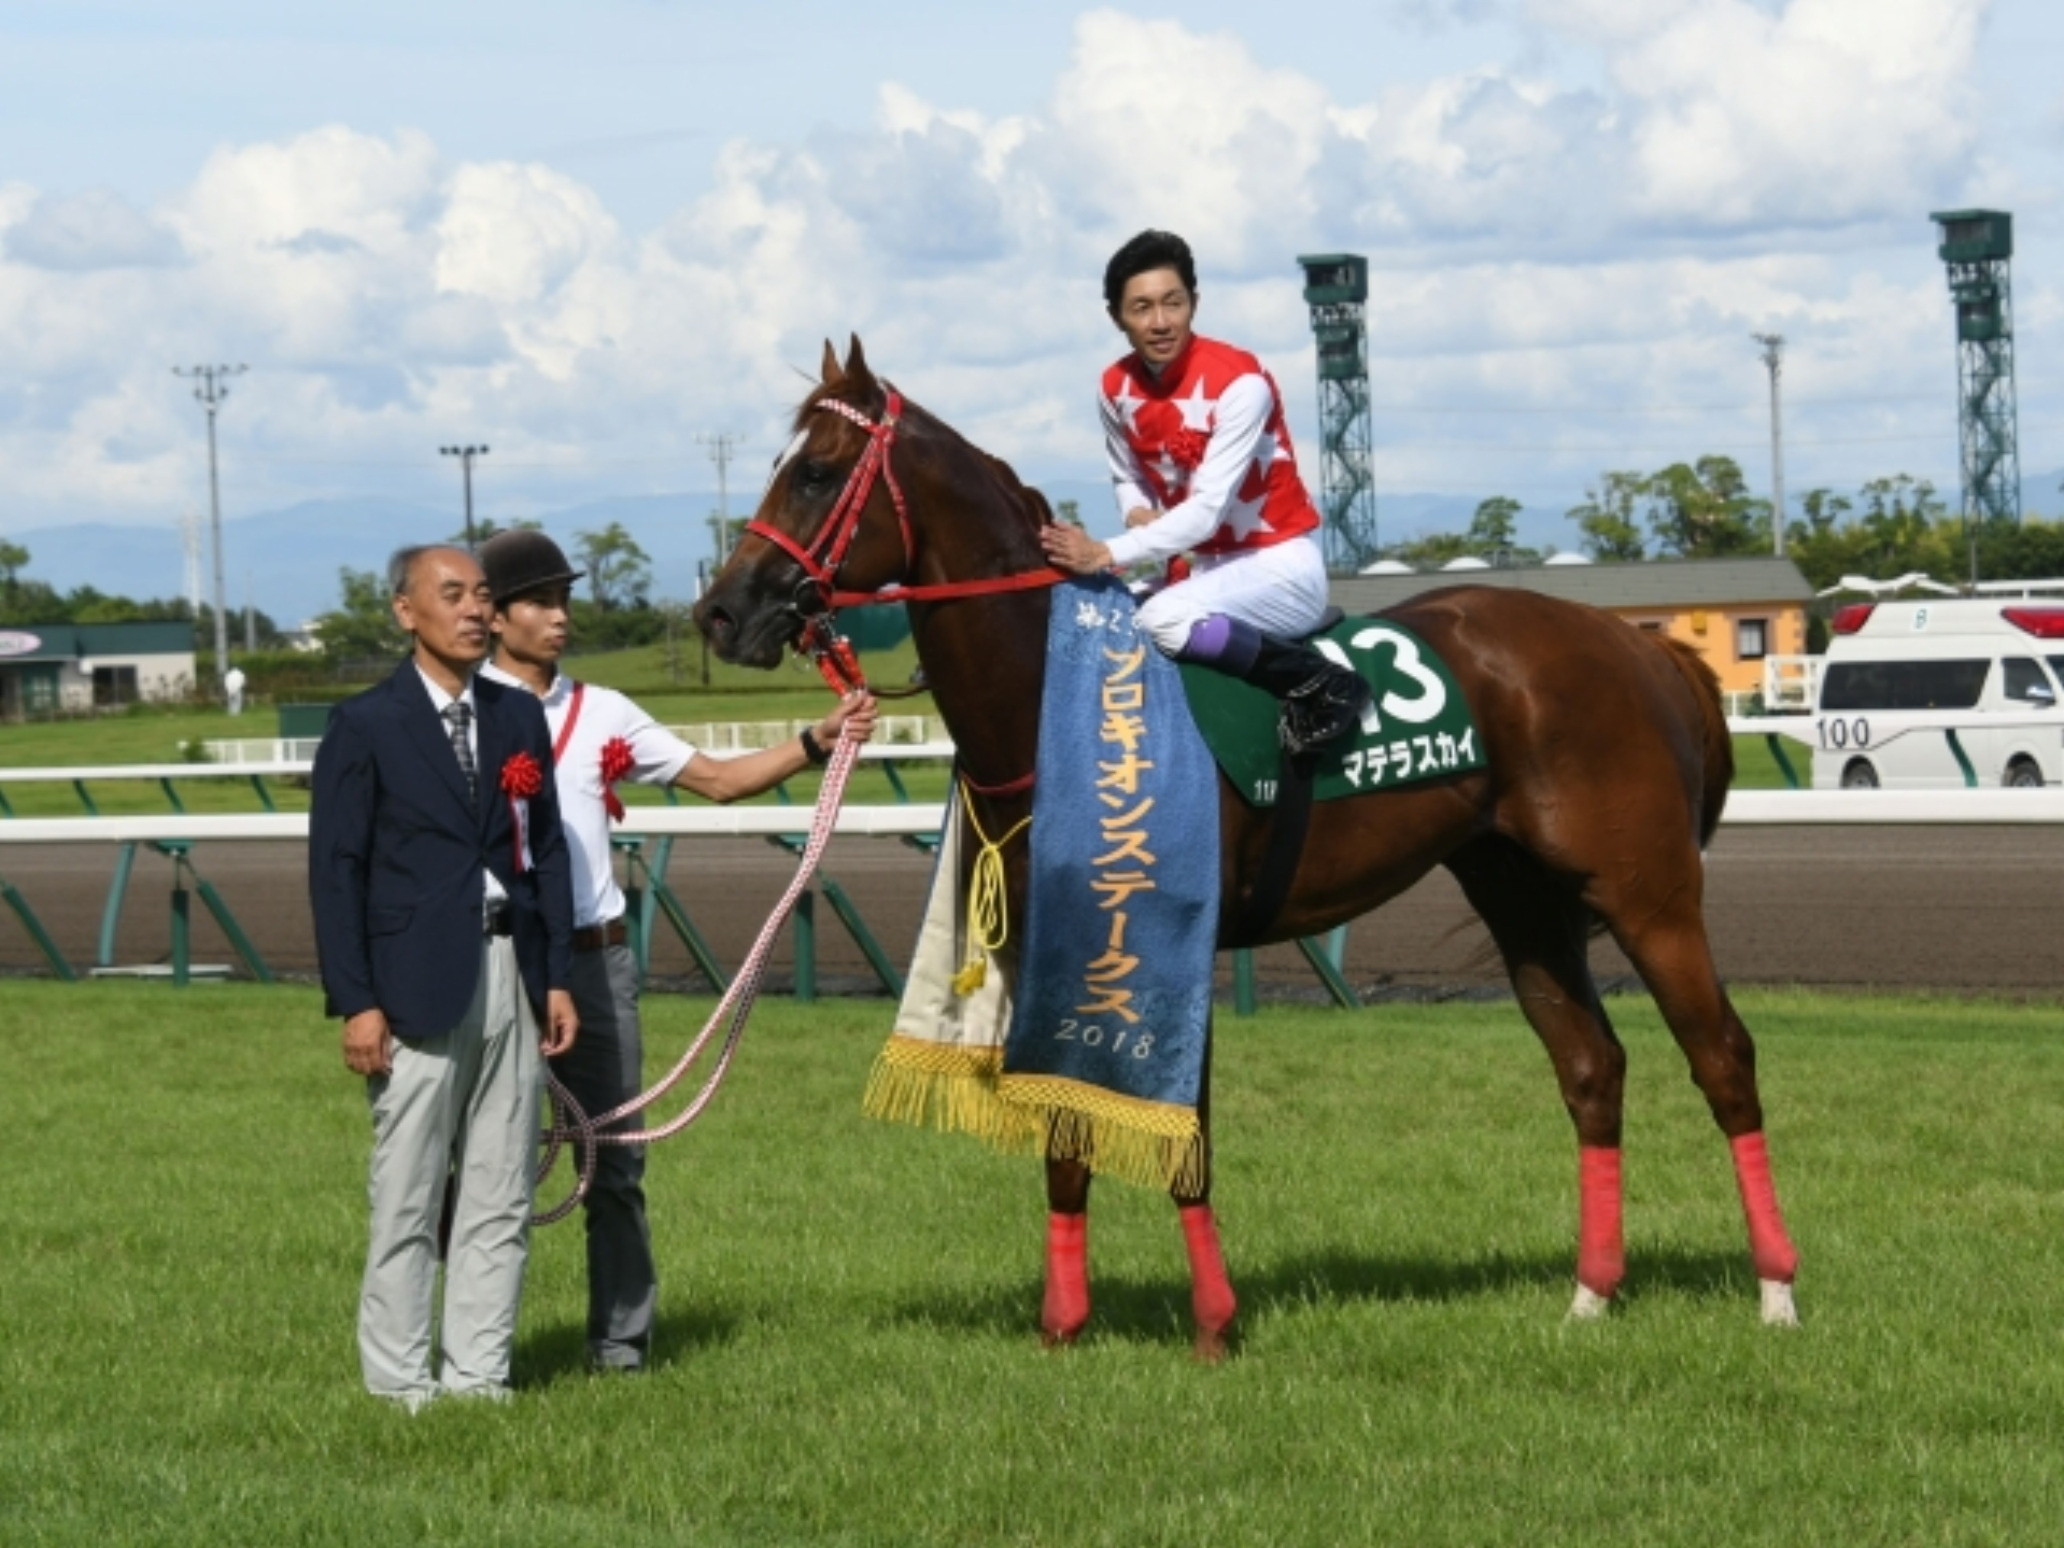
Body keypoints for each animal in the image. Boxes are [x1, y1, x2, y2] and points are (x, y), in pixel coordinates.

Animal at [693, 338, 1791, 1353]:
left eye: (817, 470)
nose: (720, 612)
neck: (1062, 713)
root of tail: (1639, 642)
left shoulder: (1171, 949)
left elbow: (1187, 1143)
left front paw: (1216, 1324)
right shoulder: (1058, 946)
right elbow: (1064, 1136)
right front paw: (1064, 1324)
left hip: (1647, 889)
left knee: (1724, 1057)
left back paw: (1776, 1290)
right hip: (1518, 893)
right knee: (1592, 1068)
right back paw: (1592, 1293)